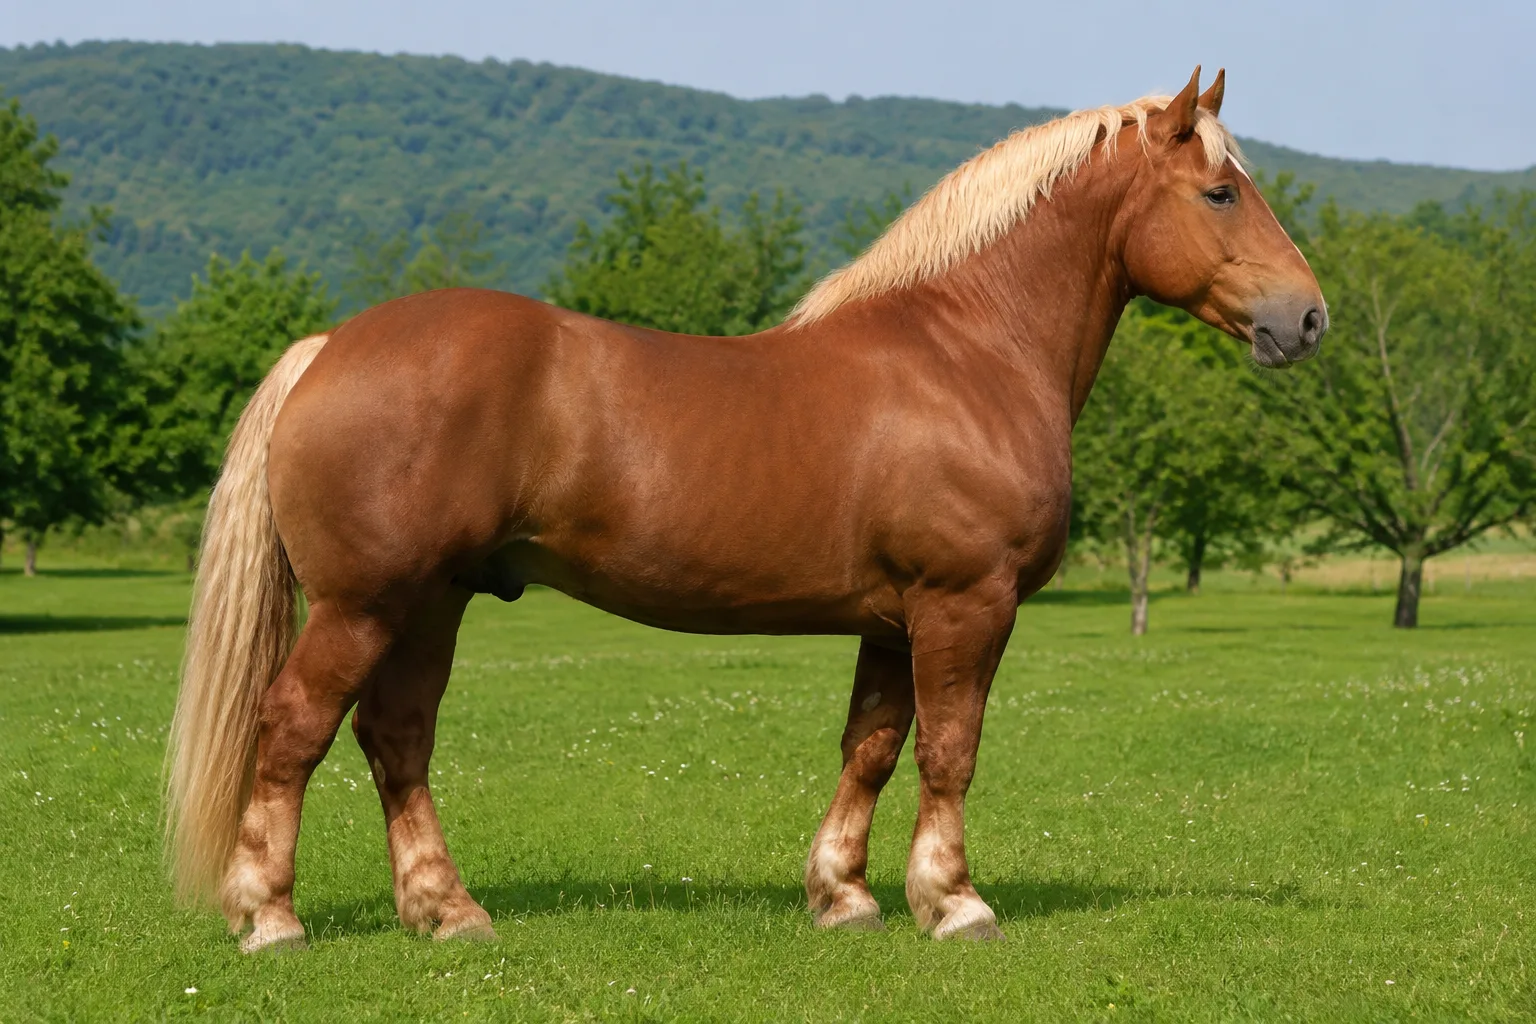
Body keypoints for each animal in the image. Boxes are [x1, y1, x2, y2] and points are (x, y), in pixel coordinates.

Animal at [165, 67, 1326, 951]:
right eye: (1221, 193)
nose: (1306, 319)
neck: (968, 351)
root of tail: (328, 347)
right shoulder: (965, 606)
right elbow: (949, 751)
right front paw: (954, 903)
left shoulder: (892, 621)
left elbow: (871, 746)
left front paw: (844, 896)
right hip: (362, 605)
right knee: (295, 728)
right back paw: (271, 918)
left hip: (431, 602)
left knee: (396, 737)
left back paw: (447, 911)